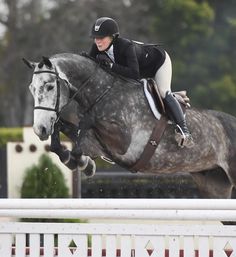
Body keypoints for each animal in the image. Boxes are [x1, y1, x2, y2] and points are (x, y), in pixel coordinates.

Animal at [23, 53, 236, 198]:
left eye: (50, 86)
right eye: (31, 89)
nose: (40, 129)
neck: (102, 92)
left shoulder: (123, 143)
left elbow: (87, 123)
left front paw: (82, 162)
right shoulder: (97, 144)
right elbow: (65, 136)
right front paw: (82, 163)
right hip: (214, 185)